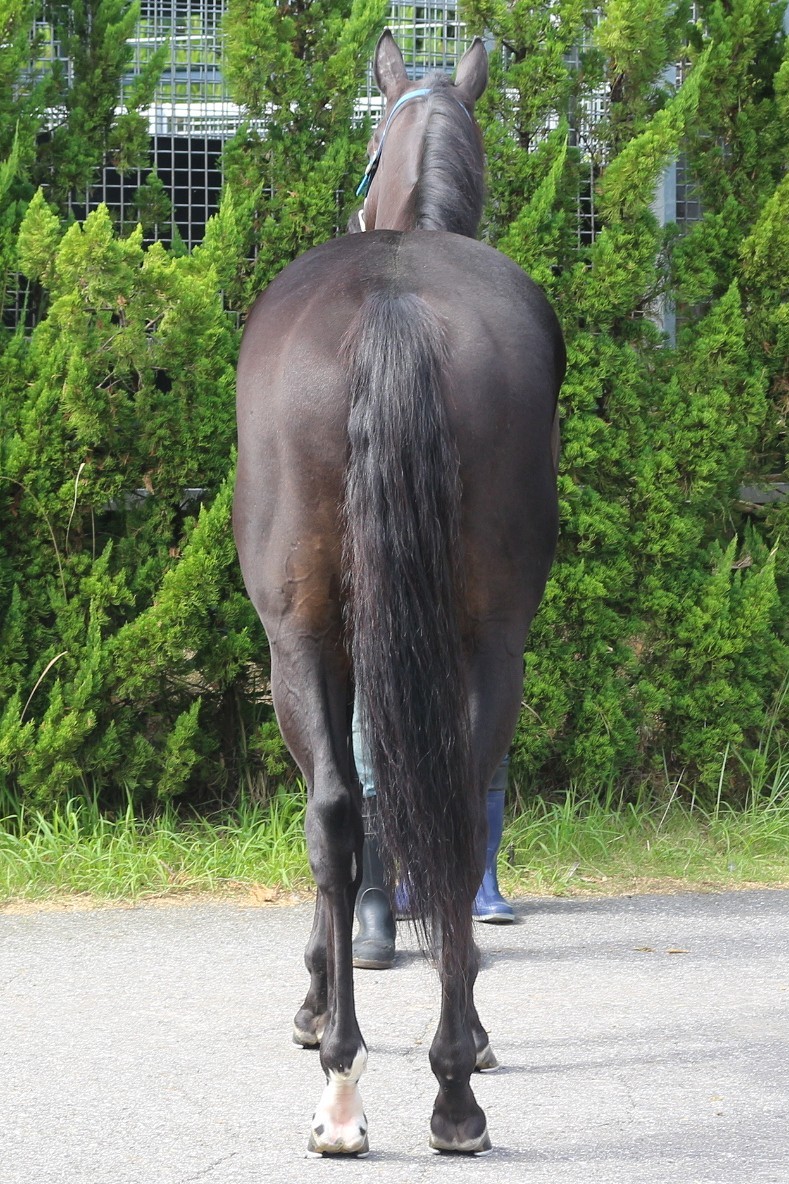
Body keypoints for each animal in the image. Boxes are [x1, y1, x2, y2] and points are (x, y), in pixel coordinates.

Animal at [233, 30, 564, 1158]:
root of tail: (392, 305)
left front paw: (312, 1000)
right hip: (486, 637)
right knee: (442, 809)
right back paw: (445, 1083)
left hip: (306, 636)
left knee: (336, 811)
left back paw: (359, 1079)